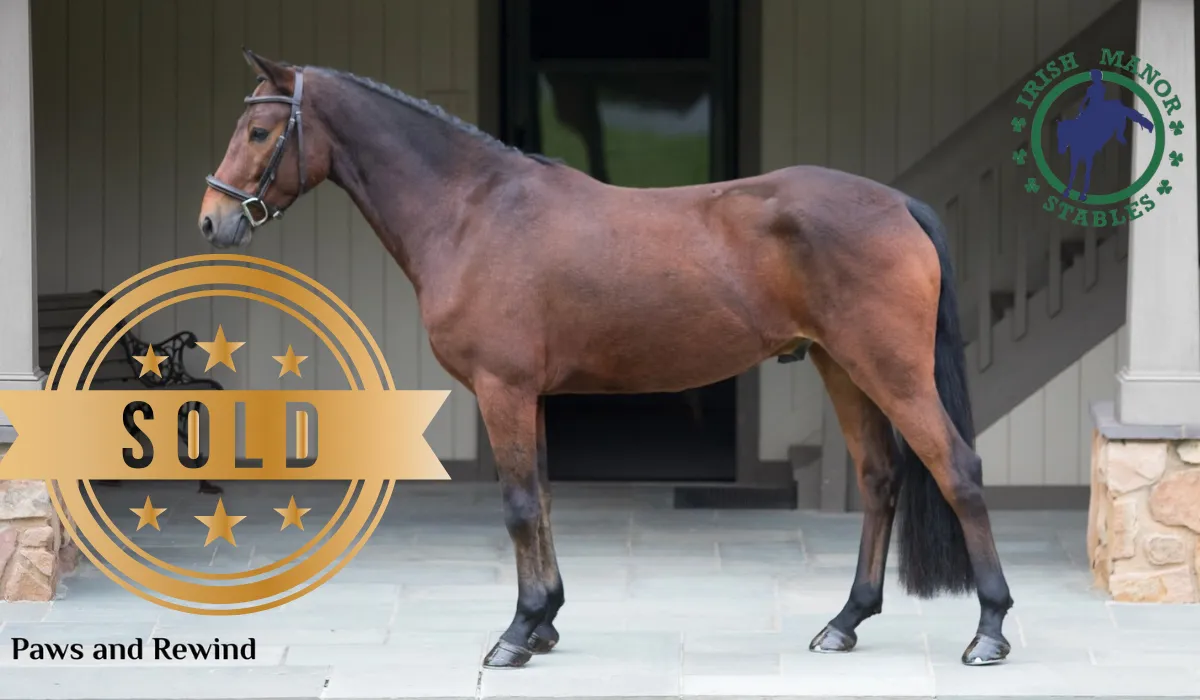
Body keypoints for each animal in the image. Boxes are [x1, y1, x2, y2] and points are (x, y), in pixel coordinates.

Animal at [198, 50, 1015, 669]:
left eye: (262, 130)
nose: (213, 221)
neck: (472, 209)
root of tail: (899, 204)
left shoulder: (502, 390)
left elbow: (519, 506)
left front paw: (516, 634)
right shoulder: (528, 396)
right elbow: (543, 499)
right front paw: (545, 620)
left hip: (890, 369)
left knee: (958, 470)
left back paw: (989, 631)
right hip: (841, 368)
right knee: (880, 480)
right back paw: (844, 622)